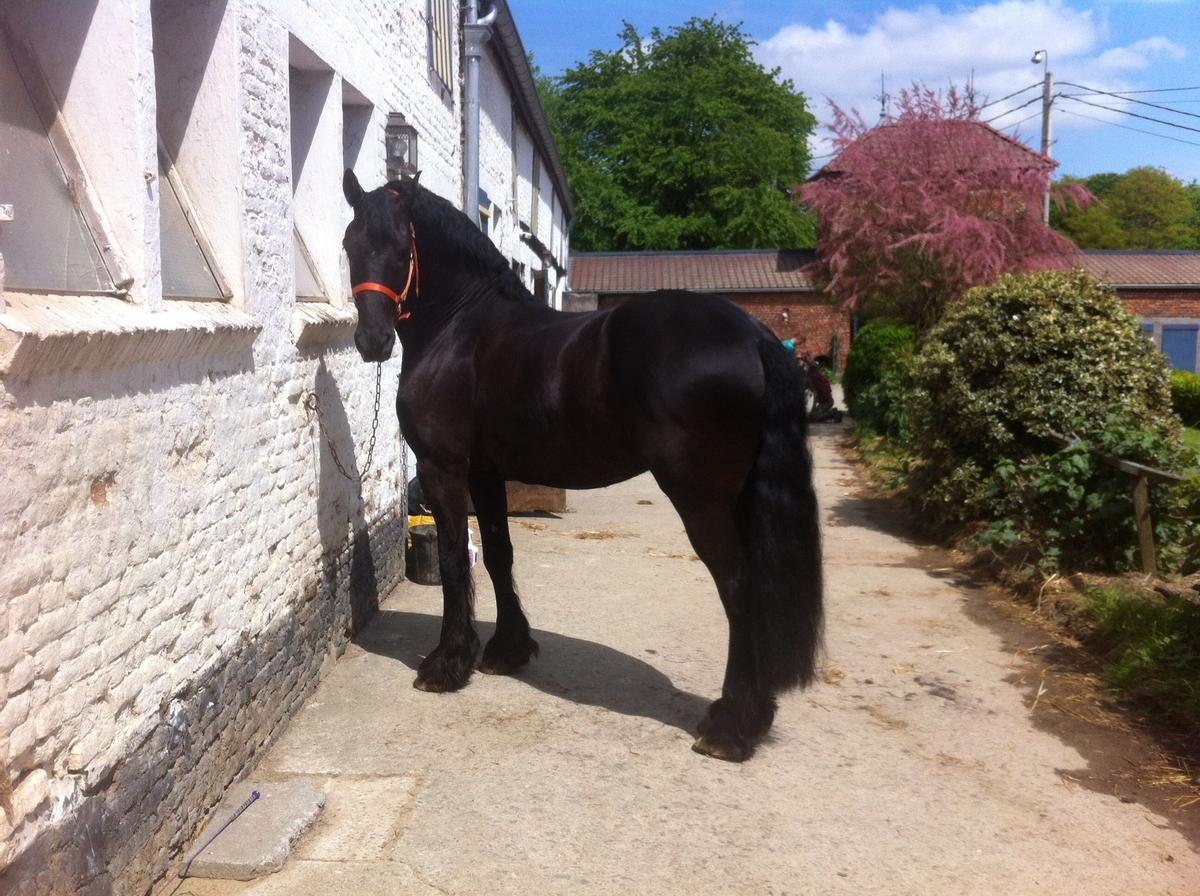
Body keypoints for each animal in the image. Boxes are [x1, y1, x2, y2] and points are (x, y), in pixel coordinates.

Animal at [341, 170, 823, 761]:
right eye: (350, 245)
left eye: (400, 247)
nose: (372, 341)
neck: (459, 329)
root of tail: (754, 334)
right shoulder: (486, 473)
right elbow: (498, 555)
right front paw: (507, 650)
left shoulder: (443, 469)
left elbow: (456, 561)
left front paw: (447, 664)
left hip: (702, 501)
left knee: (738, 587)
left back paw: (730, 727)